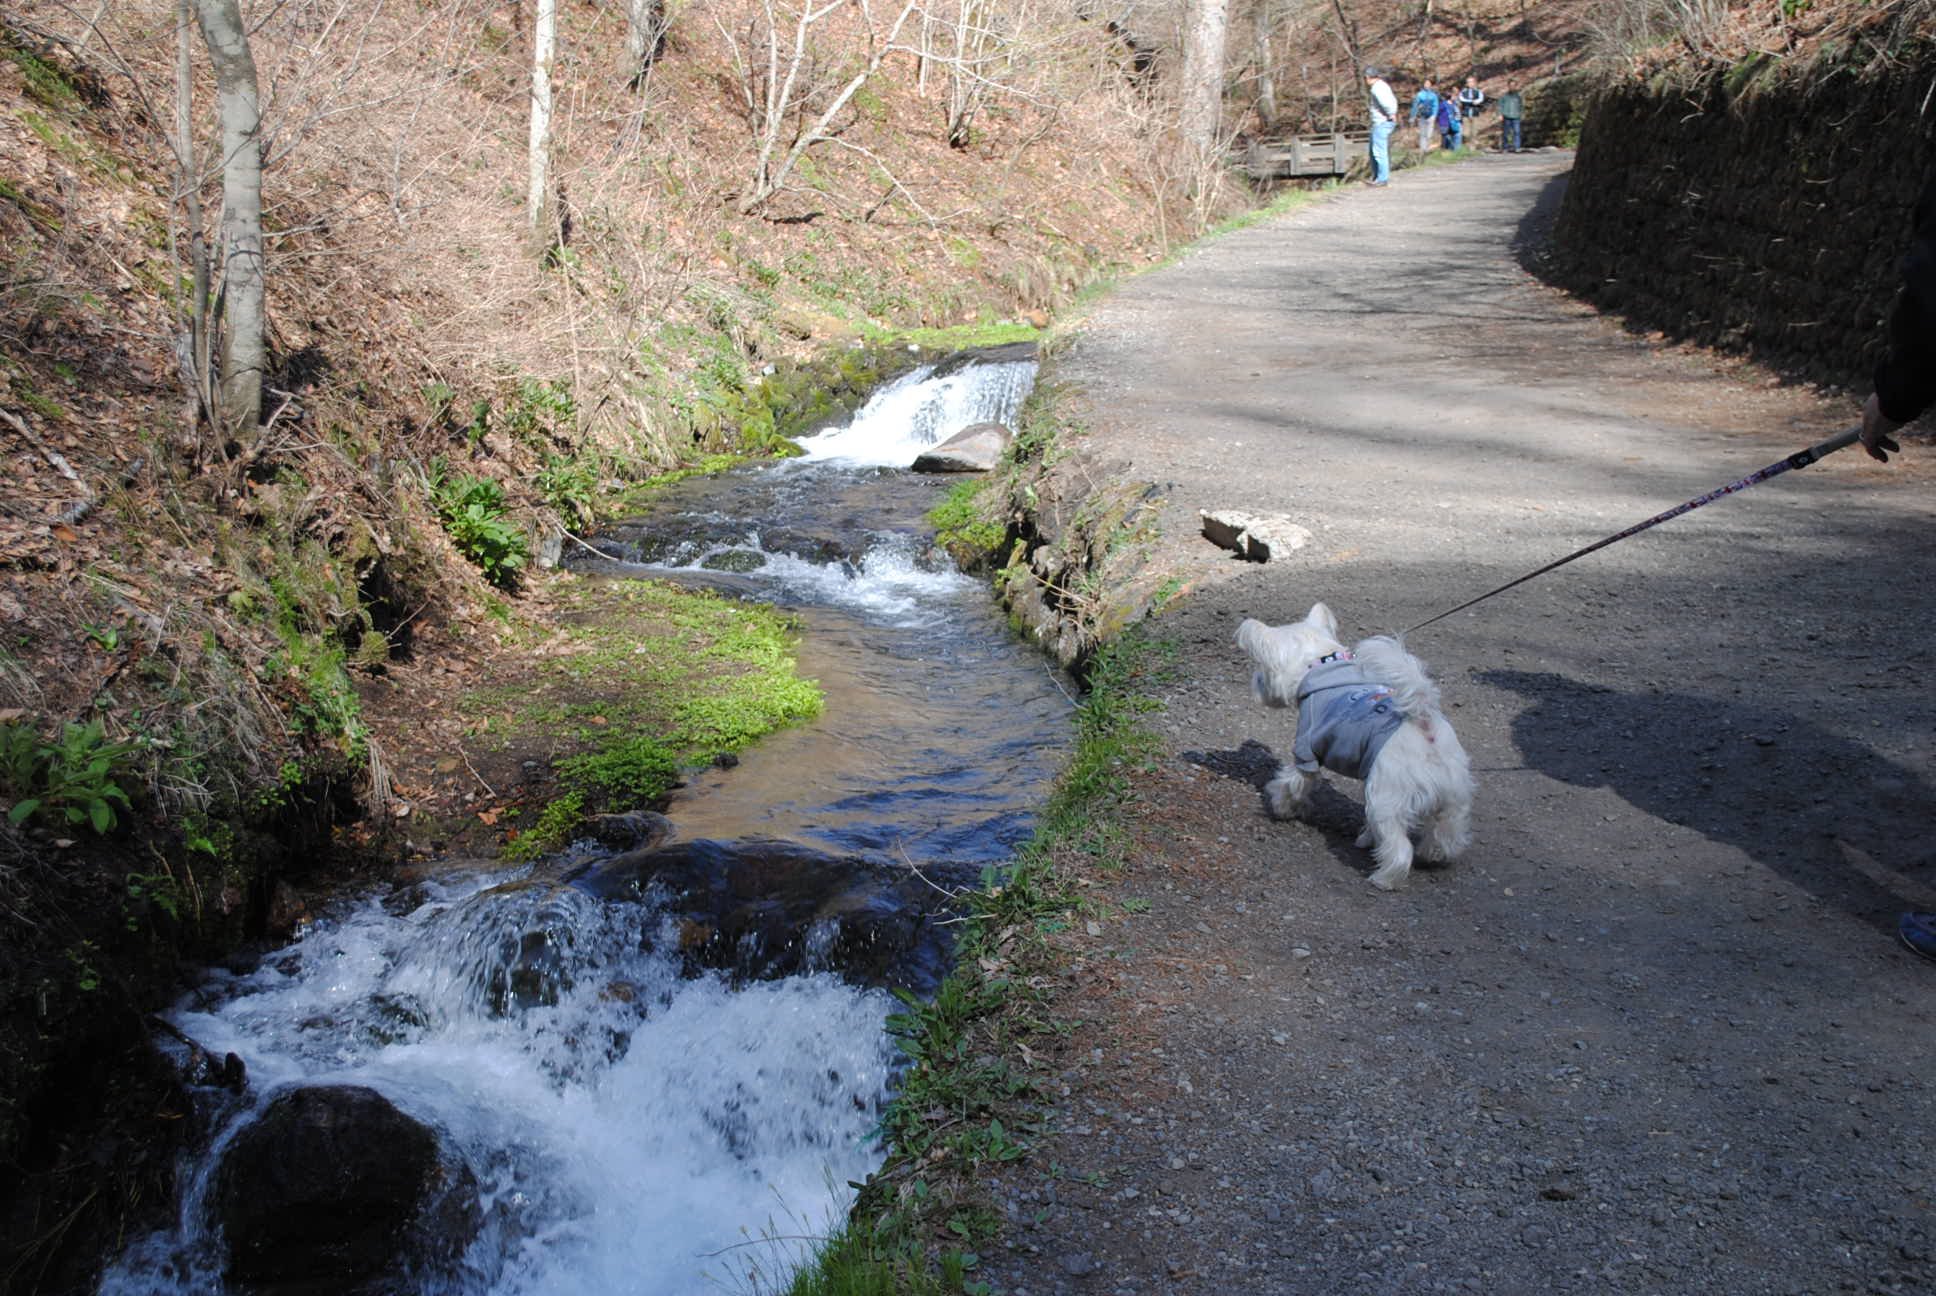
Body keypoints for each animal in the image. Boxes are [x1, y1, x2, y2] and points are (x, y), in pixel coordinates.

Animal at [1239, 604, 1463, 891]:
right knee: (1446, 836)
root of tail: (1422, 721)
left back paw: (1383, 878)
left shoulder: (1306, 752)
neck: (1320, 663)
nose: (1254, 683)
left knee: (1399, 848)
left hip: (1385, 800)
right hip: (1452, 799)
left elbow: (1291, 784)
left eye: (1261, 672)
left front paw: (1281, 808)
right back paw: (1431, 855)